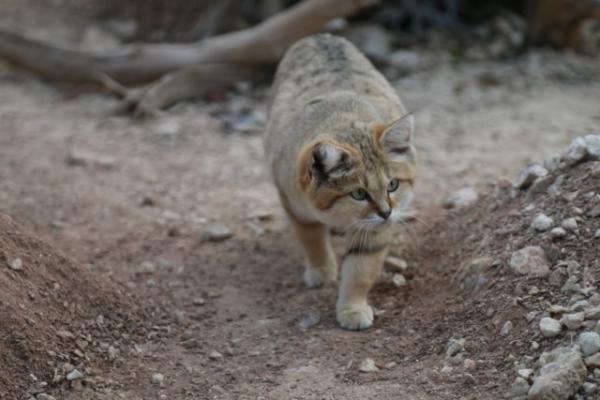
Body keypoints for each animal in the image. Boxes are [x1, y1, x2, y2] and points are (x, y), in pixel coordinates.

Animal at [264, 32, 414, 330]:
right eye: (358, 194)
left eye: (393, 185)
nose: (386, 213)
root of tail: (319, 35)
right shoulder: (294, 205)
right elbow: (311, 239)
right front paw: (321, 269)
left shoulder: (373, 232)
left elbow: (360, 270)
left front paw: (352, 308)